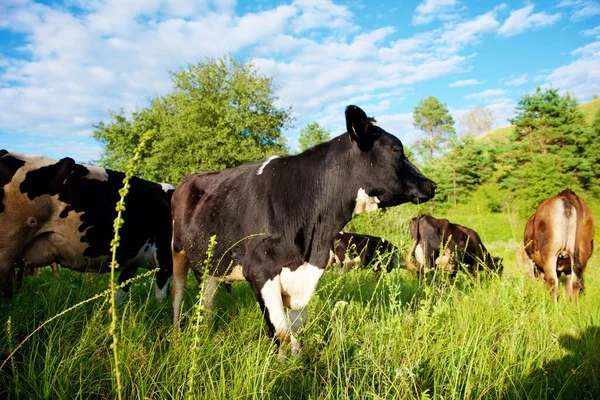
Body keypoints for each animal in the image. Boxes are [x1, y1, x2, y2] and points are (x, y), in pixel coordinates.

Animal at [170, 104, 436, 354]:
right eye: (396, 149)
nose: (431, 184)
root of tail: (187, 179)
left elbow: (296, 329)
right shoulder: (259, 271)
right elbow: (283, 335)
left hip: (210, 263)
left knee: (207, 300)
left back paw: (204, 335)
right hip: (177, 250)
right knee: (177, 293)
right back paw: (175, 335)